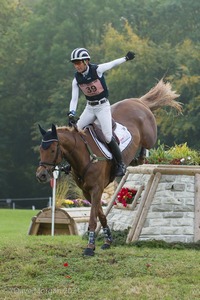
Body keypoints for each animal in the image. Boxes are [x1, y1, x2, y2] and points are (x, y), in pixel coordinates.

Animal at [35, 79, 181, 255]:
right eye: (40, 149)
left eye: (51, 150)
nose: (41, 175)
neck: (85, 156)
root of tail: (138, 101)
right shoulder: (87, 191)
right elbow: (100, 214)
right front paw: (107, 240)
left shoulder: (97, 188)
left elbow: (93, 217)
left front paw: (90, 247)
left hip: (149, 136)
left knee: (146, 145)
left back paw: (140, 158)